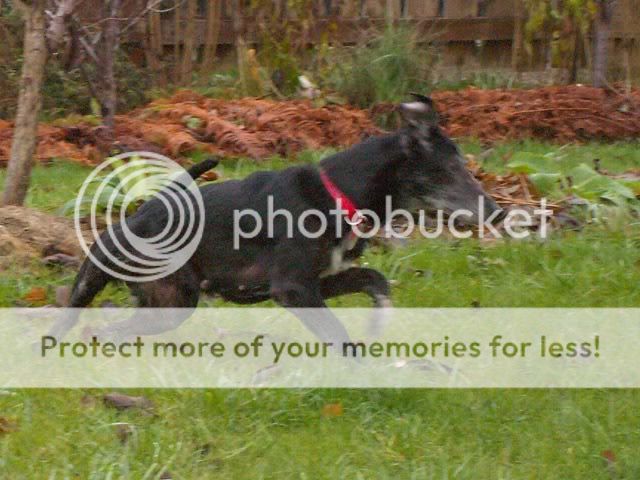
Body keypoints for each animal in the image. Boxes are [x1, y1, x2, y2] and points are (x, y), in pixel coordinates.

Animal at [56, 94, 503, 347]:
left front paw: (378, 321)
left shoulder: (317, 281)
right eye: (451, 169)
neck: (338, 193)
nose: (498, 212)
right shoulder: (293, 288)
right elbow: (339, 336)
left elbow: (376, 280)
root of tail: (132, 219)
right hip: (162, 298)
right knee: (95, 327)